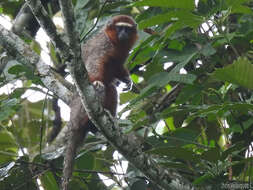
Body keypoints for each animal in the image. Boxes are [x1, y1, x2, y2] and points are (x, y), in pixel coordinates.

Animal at [61, 14, 138, 189]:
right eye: (119, 28)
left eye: (128, 29)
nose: (123, 33)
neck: (116, 44)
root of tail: (73, 122)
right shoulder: (104, 44)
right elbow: (93, 63)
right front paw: (96, 81)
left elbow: (117, 68)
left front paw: (127, 79)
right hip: (80, 106)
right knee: (99, 91)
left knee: (111, 89)